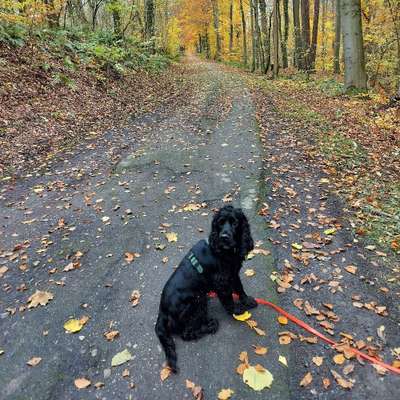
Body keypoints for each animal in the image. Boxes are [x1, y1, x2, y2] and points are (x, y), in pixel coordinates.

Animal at [155, 206, 258, 372]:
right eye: (220, 223)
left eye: (235, 223)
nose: (224, 237)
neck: (223, 252)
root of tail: (162, 312)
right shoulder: (221, 281)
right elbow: (228, 299)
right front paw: (237, 311)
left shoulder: (233, 272)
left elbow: (239, 287)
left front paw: (247, 300)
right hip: (196, 301)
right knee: (187, 333)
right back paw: (210, 325)